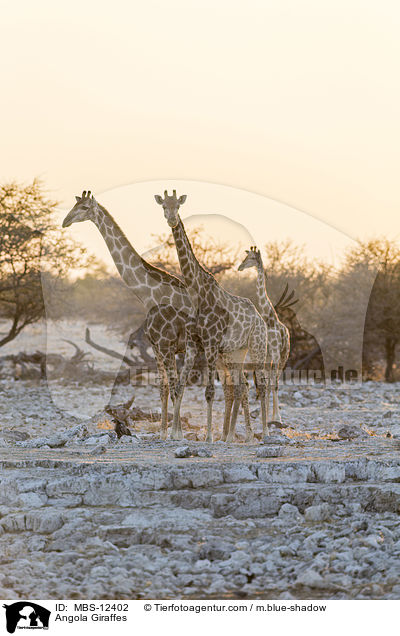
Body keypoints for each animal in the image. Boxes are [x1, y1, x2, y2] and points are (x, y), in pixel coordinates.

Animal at [61, 186, 253, 440]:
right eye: (75, 205)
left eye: (83, 208)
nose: (65, 221)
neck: (150, 294)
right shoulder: (157, 347)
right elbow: (164, 388)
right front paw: (163, 433)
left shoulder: (172, 345)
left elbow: (176, 386)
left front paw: (176, 433)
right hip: (222, 353)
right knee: (237, 386)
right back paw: (231, 435)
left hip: (229, 351)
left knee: (241, 385)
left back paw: (242, 435)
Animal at [155, 191, 268, 444]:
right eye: (163, 206)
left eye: (177, 206)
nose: (171, 220)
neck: (197, 294)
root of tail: (260, 318)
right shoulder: (192, 343)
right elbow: (180, 387)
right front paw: (176, 434)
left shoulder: (210, 343)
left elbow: (209, 392)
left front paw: (208, 437)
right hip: (236, 352)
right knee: (242, 385)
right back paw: (237, 435)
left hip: (257, 346)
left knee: (261, 383)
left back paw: (262, 433)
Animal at [238, 247, 290, 422]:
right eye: (246, 256)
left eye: (252, 258)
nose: (240, 267)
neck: (269, 317)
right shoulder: (266, 353)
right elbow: (264, 383)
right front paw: (265, 416)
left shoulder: (275, 352)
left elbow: (274, 384)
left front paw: (277, 417)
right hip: (269, 357)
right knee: (268, 381)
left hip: (283, 356)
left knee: (276, 381)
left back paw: (276, 416)